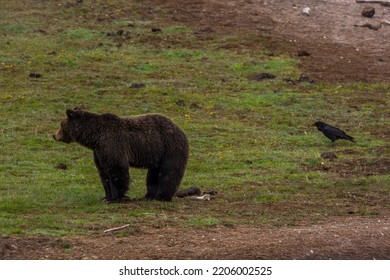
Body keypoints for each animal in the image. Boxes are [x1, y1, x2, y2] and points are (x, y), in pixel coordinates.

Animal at [53, 108, 189, 202]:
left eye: (60, 124)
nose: (54, 135)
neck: (95, 137)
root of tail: (181, 130)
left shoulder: (113, 143)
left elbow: (117, 169)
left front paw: (117, 197)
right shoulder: (99, 152)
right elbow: (103, 173)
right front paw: (106, 197)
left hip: (170, 148)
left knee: (168, 172)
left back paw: (162, 196)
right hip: (157, 154)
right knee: (153, 175)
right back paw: (148, 196)